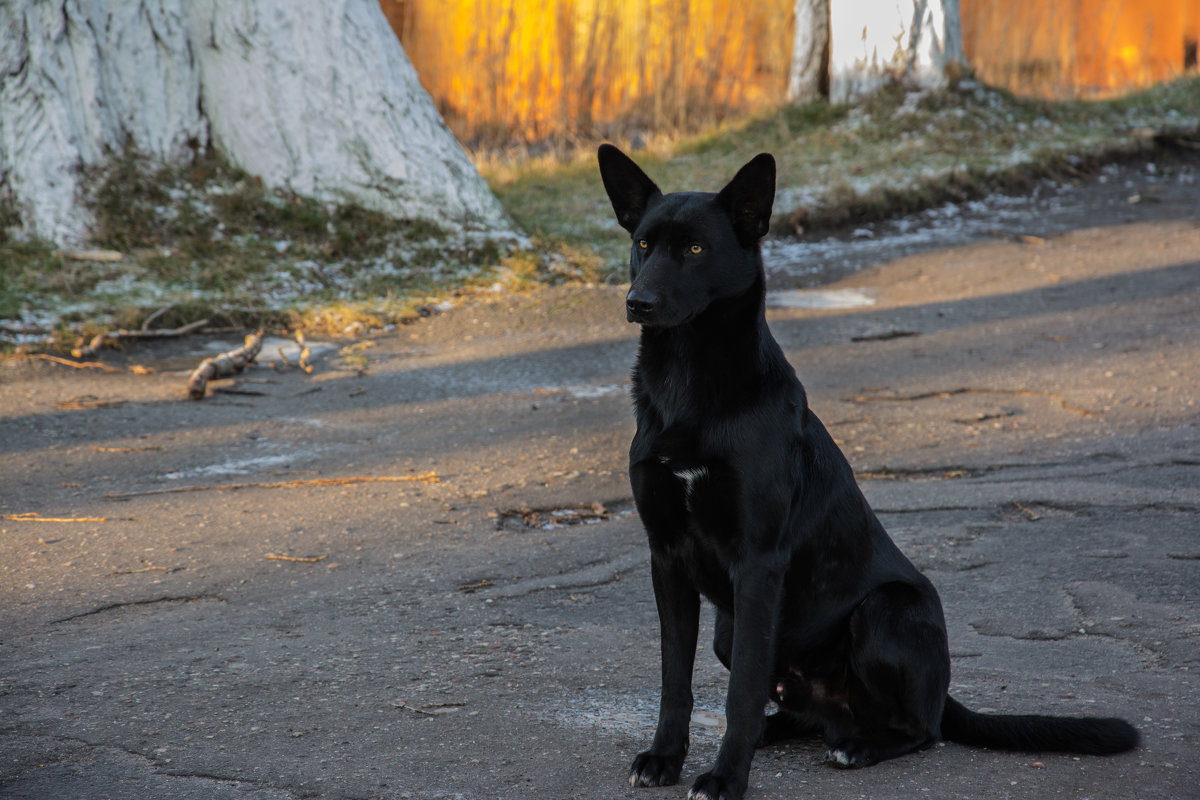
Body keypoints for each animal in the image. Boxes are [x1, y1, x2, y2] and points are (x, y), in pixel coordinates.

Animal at [595, 145, 1137, 800]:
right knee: (806, 713)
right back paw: (793, 731)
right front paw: (664, 757)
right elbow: (676, 679)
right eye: (643, 244)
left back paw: (859, 747)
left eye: (696, 249)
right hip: (735, 630)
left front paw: (725, 777)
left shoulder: (758, 564)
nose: (637, 303)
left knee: (919, 729)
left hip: (883, 614)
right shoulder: (667, 559)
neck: (688, 382)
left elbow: (740, 693)